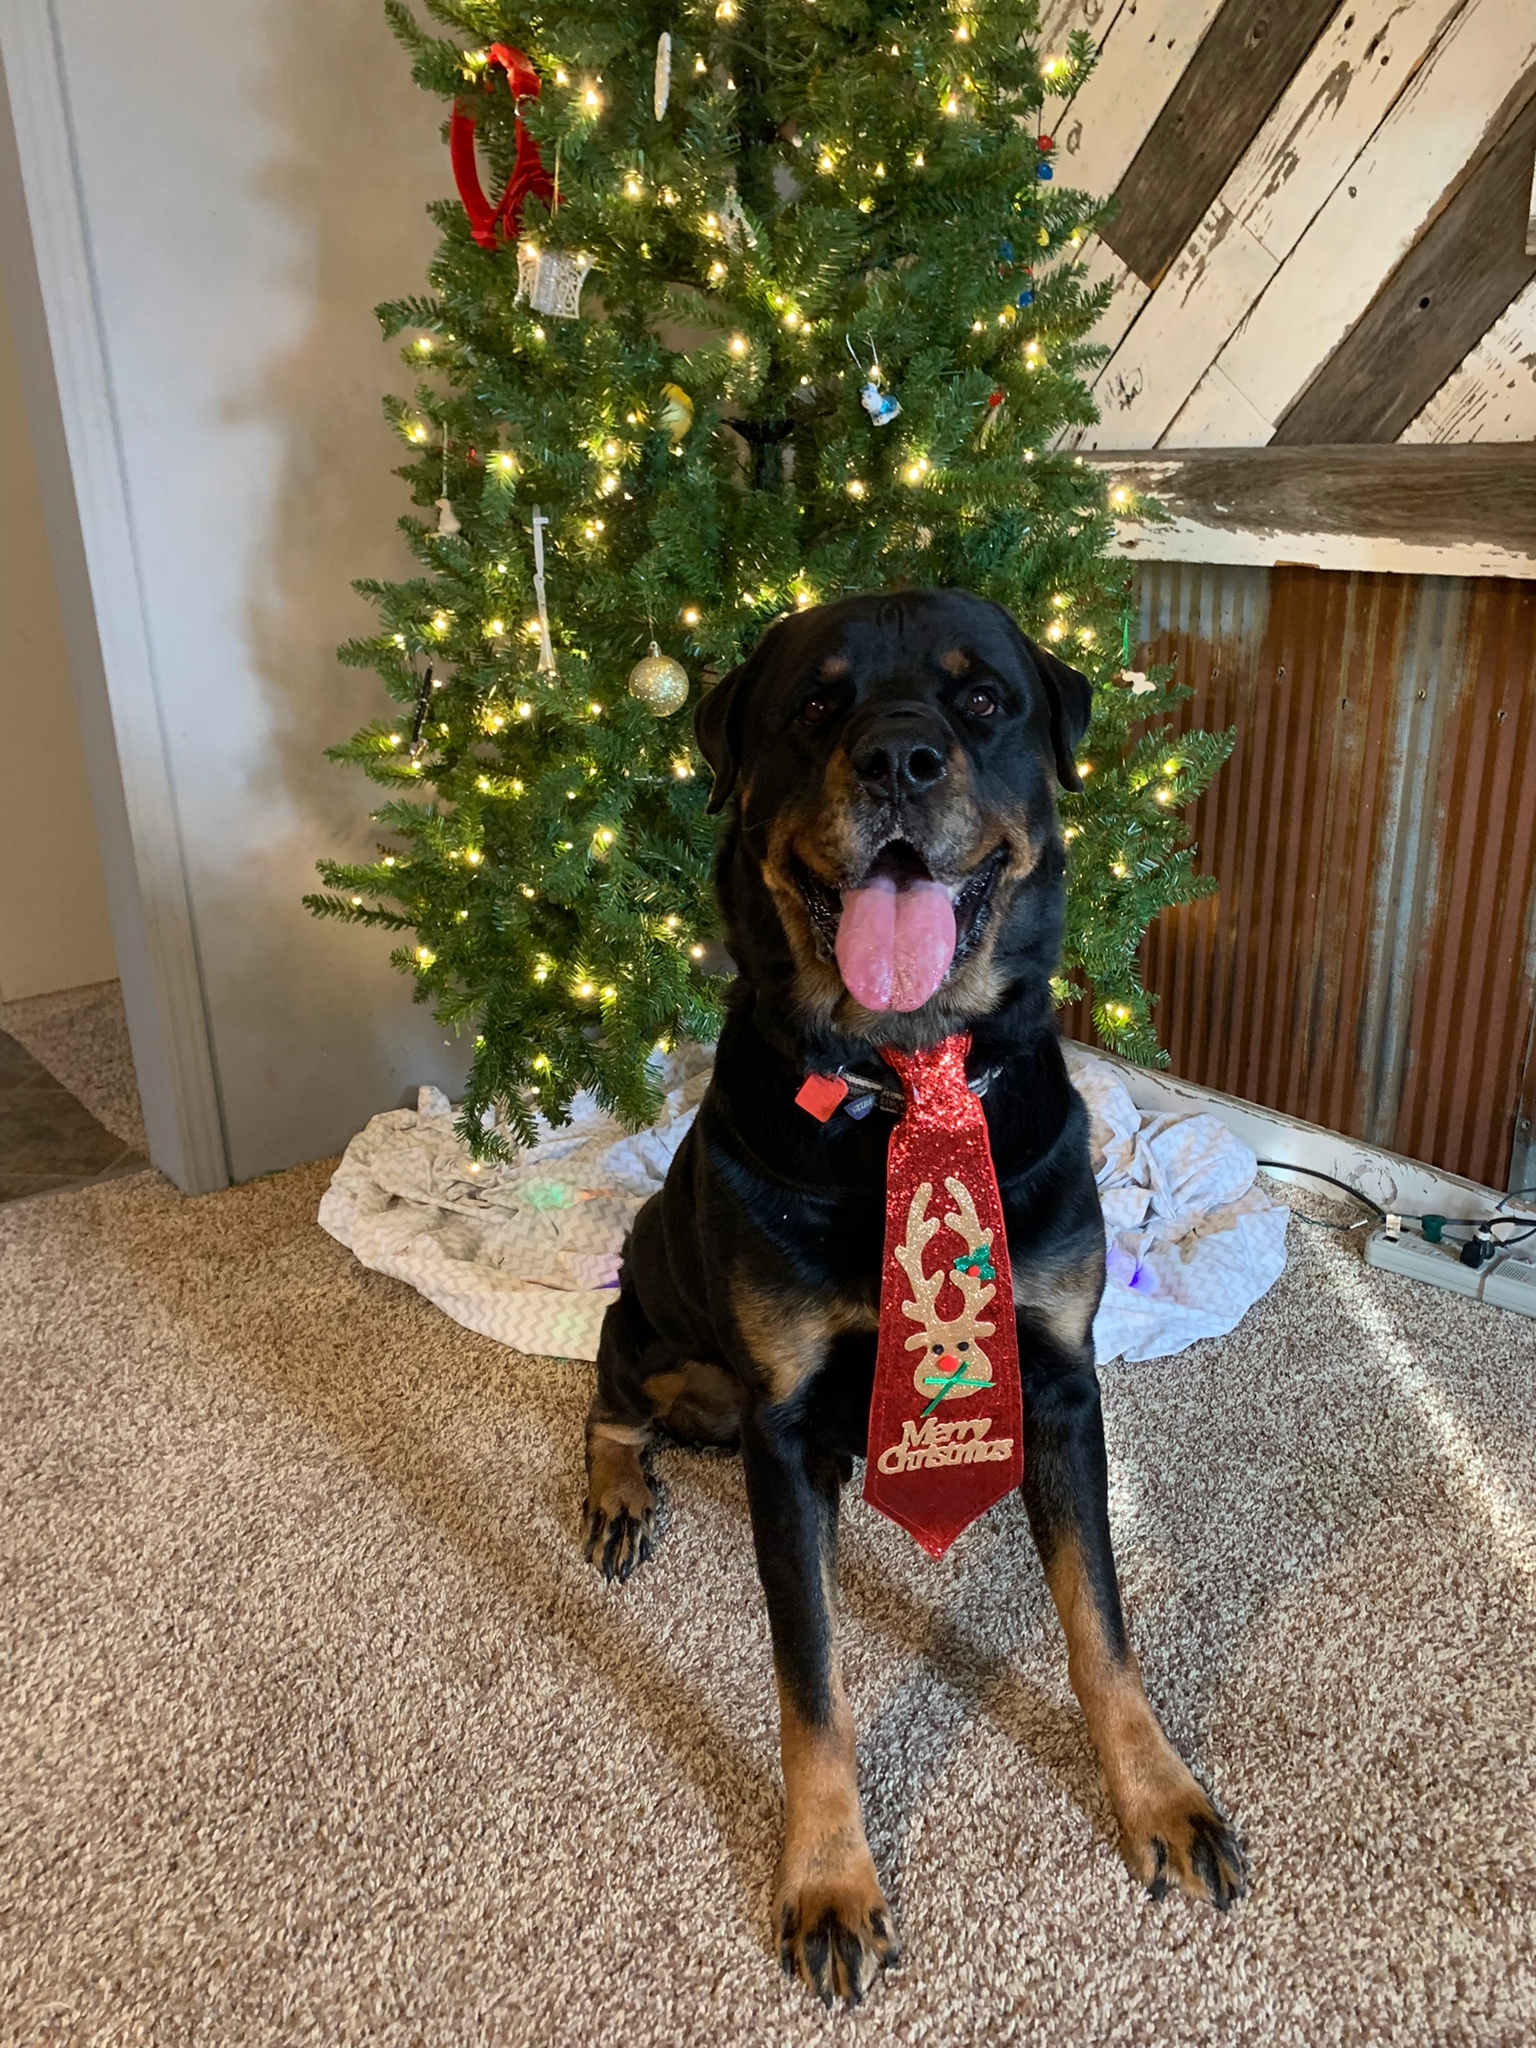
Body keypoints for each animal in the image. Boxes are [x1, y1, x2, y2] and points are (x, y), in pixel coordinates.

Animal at [581, 589, 1245, 1998]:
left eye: (983, 698)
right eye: (814, 704)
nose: (897, 759)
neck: (902, 1081)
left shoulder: (1059, 1380)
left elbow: (1100, 1625)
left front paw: (1158, 1793)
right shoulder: (783, 1426)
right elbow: (811, 1680)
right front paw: (830, 1879)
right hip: (653, 1301)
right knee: (611, 1389)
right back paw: (617, 1489)